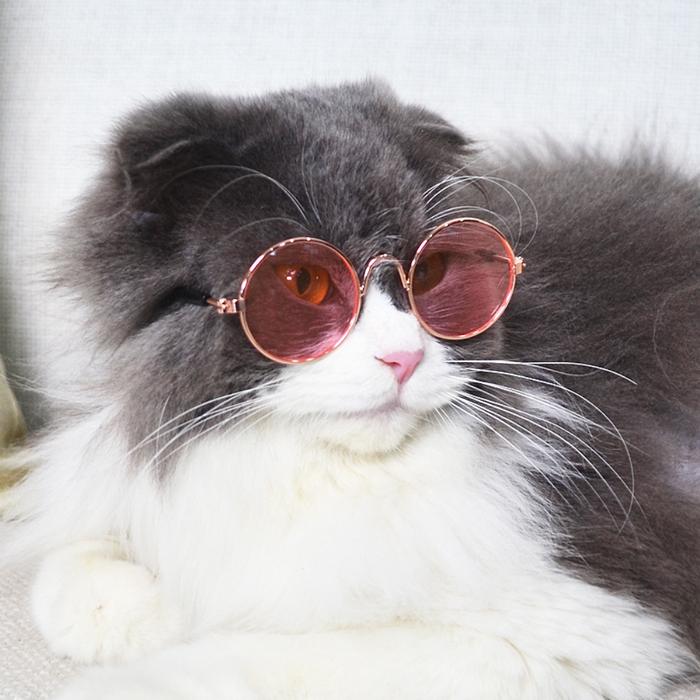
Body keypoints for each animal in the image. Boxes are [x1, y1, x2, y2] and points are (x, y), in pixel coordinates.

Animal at [2, 80, 699, 699]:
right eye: (303, 283)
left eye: (435, 272)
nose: (404, 357)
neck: (312, 470)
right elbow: (72, 580)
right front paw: (166, 609)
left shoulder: (584, 620)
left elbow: (259, 660)